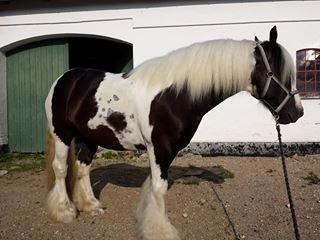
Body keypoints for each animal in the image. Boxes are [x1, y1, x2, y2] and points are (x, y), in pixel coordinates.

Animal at [44, 25, 302, 239]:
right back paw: (65, 211)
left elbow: (156, 187)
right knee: (61, 168)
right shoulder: (159, 149)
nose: (297, 112)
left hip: (89, 137)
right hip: (62, 134)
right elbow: (159, 189)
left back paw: (91, 205)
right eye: (278, 73)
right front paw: (160, 231)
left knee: (83, 167)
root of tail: (64, 79)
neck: (175, 95)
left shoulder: (165, 152)